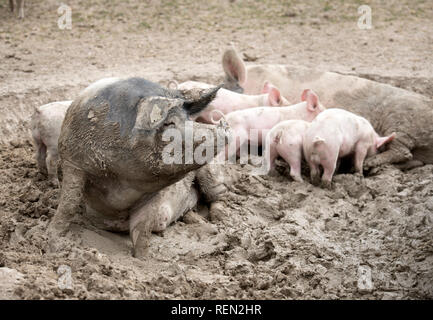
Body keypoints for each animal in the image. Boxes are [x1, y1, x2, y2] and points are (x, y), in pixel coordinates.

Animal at [50, 77, 230, 258]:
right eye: (169, 123)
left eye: (188, 119)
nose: (225, 129)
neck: (120, 181)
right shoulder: (73, 161)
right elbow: (68, 204)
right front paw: (54, 238)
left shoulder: (153, 192)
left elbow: (142, 228)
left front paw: (143, 259)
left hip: (210, 171)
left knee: (218, 196)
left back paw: (220, 220)